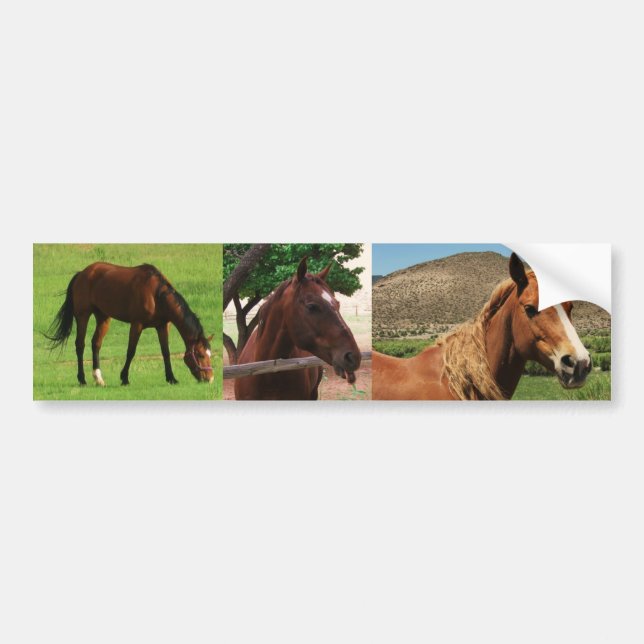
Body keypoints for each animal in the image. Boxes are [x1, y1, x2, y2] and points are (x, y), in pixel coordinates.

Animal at [46, 262, 214, 386]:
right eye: (200, 354)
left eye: (209, 354)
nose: (210, 378)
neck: (156, 295)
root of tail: (82, 273)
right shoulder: (137, 324)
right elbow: (131, 351)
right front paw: (124, 378)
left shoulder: (162, 326)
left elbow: (165, 352)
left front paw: (171, 378)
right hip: (83, 316)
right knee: (80, 345)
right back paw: (82, 379)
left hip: (103, 317)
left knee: (96, 344)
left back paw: (99, 379)